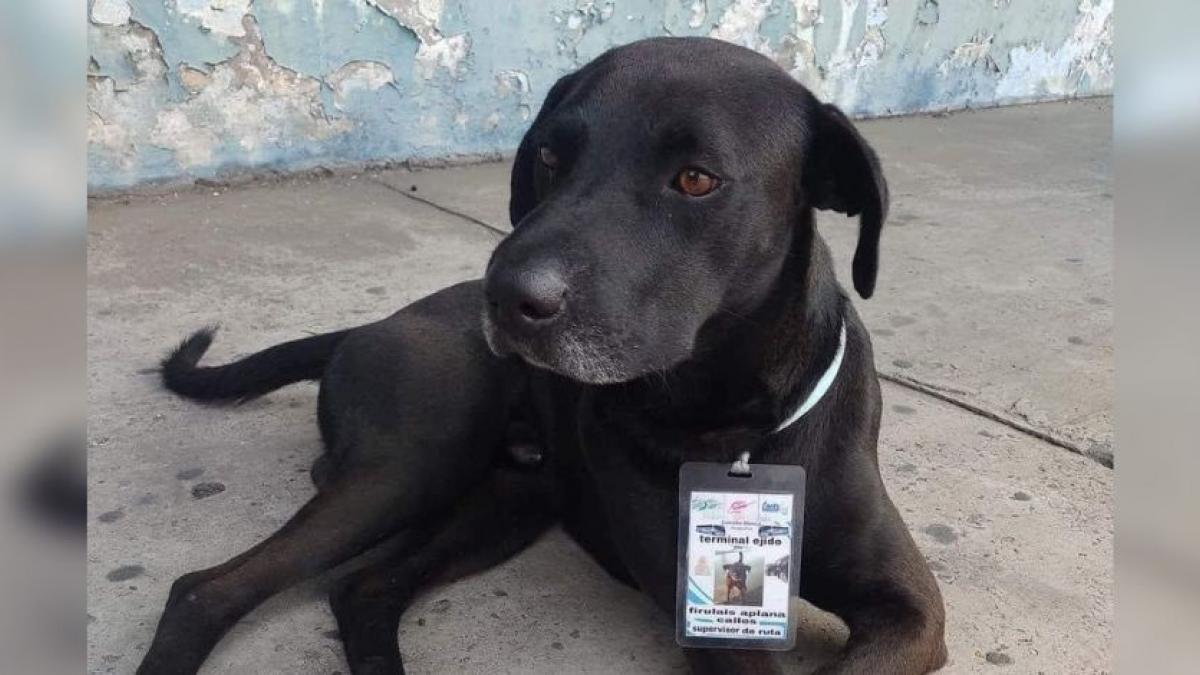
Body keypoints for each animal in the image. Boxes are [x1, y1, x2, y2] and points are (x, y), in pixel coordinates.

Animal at [136, 38, 945, 672]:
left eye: (696, 177)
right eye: (552, 156)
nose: (506, 296)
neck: (736, 426)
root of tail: (373, 324)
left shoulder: (910, 609)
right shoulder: (711, 624)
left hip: (506, 500)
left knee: (363, 590)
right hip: (411, 464)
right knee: (206, 590)